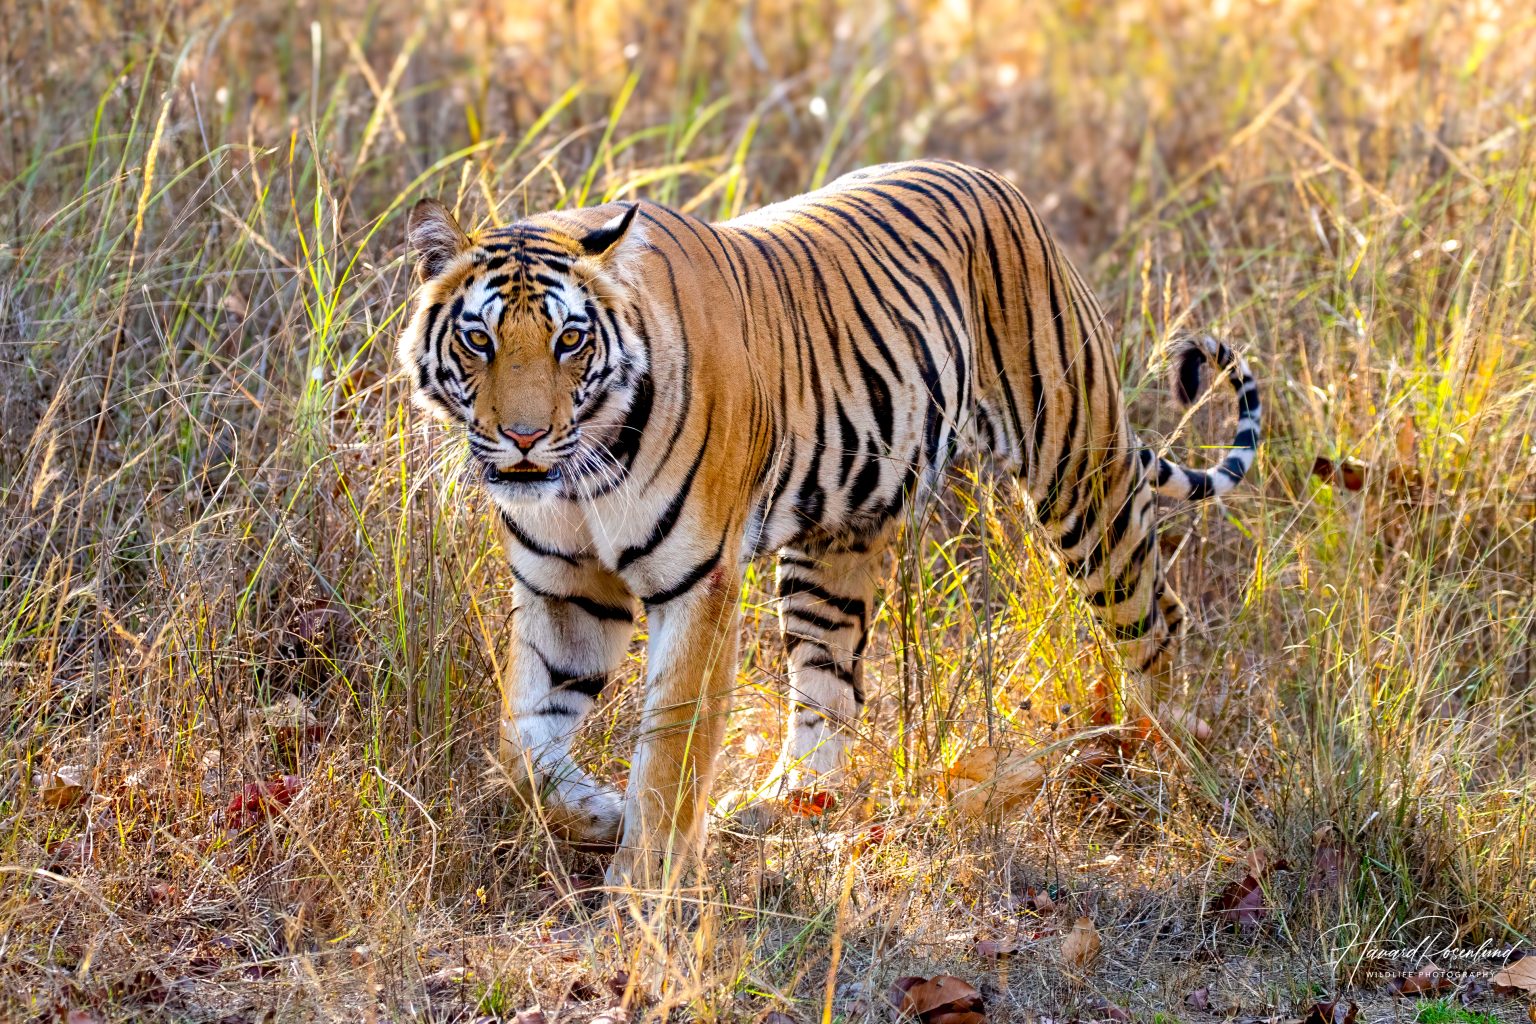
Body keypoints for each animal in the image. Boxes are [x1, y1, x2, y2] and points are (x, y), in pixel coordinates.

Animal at [398, 159, 1260, 887]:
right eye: (479, 340)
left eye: (570, 340)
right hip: (837, 537)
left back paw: (1169, 765)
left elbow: (671, 752)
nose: (524, 437)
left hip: (1079, 473)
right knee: (832, 683)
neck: (580, 476)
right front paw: (597, 813)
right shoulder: (565, 587)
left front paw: (643, 891)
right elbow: (521, 743)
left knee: (1156, 617)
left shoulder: (698, 583)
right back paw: (784, 800)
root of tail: (1000, 182)